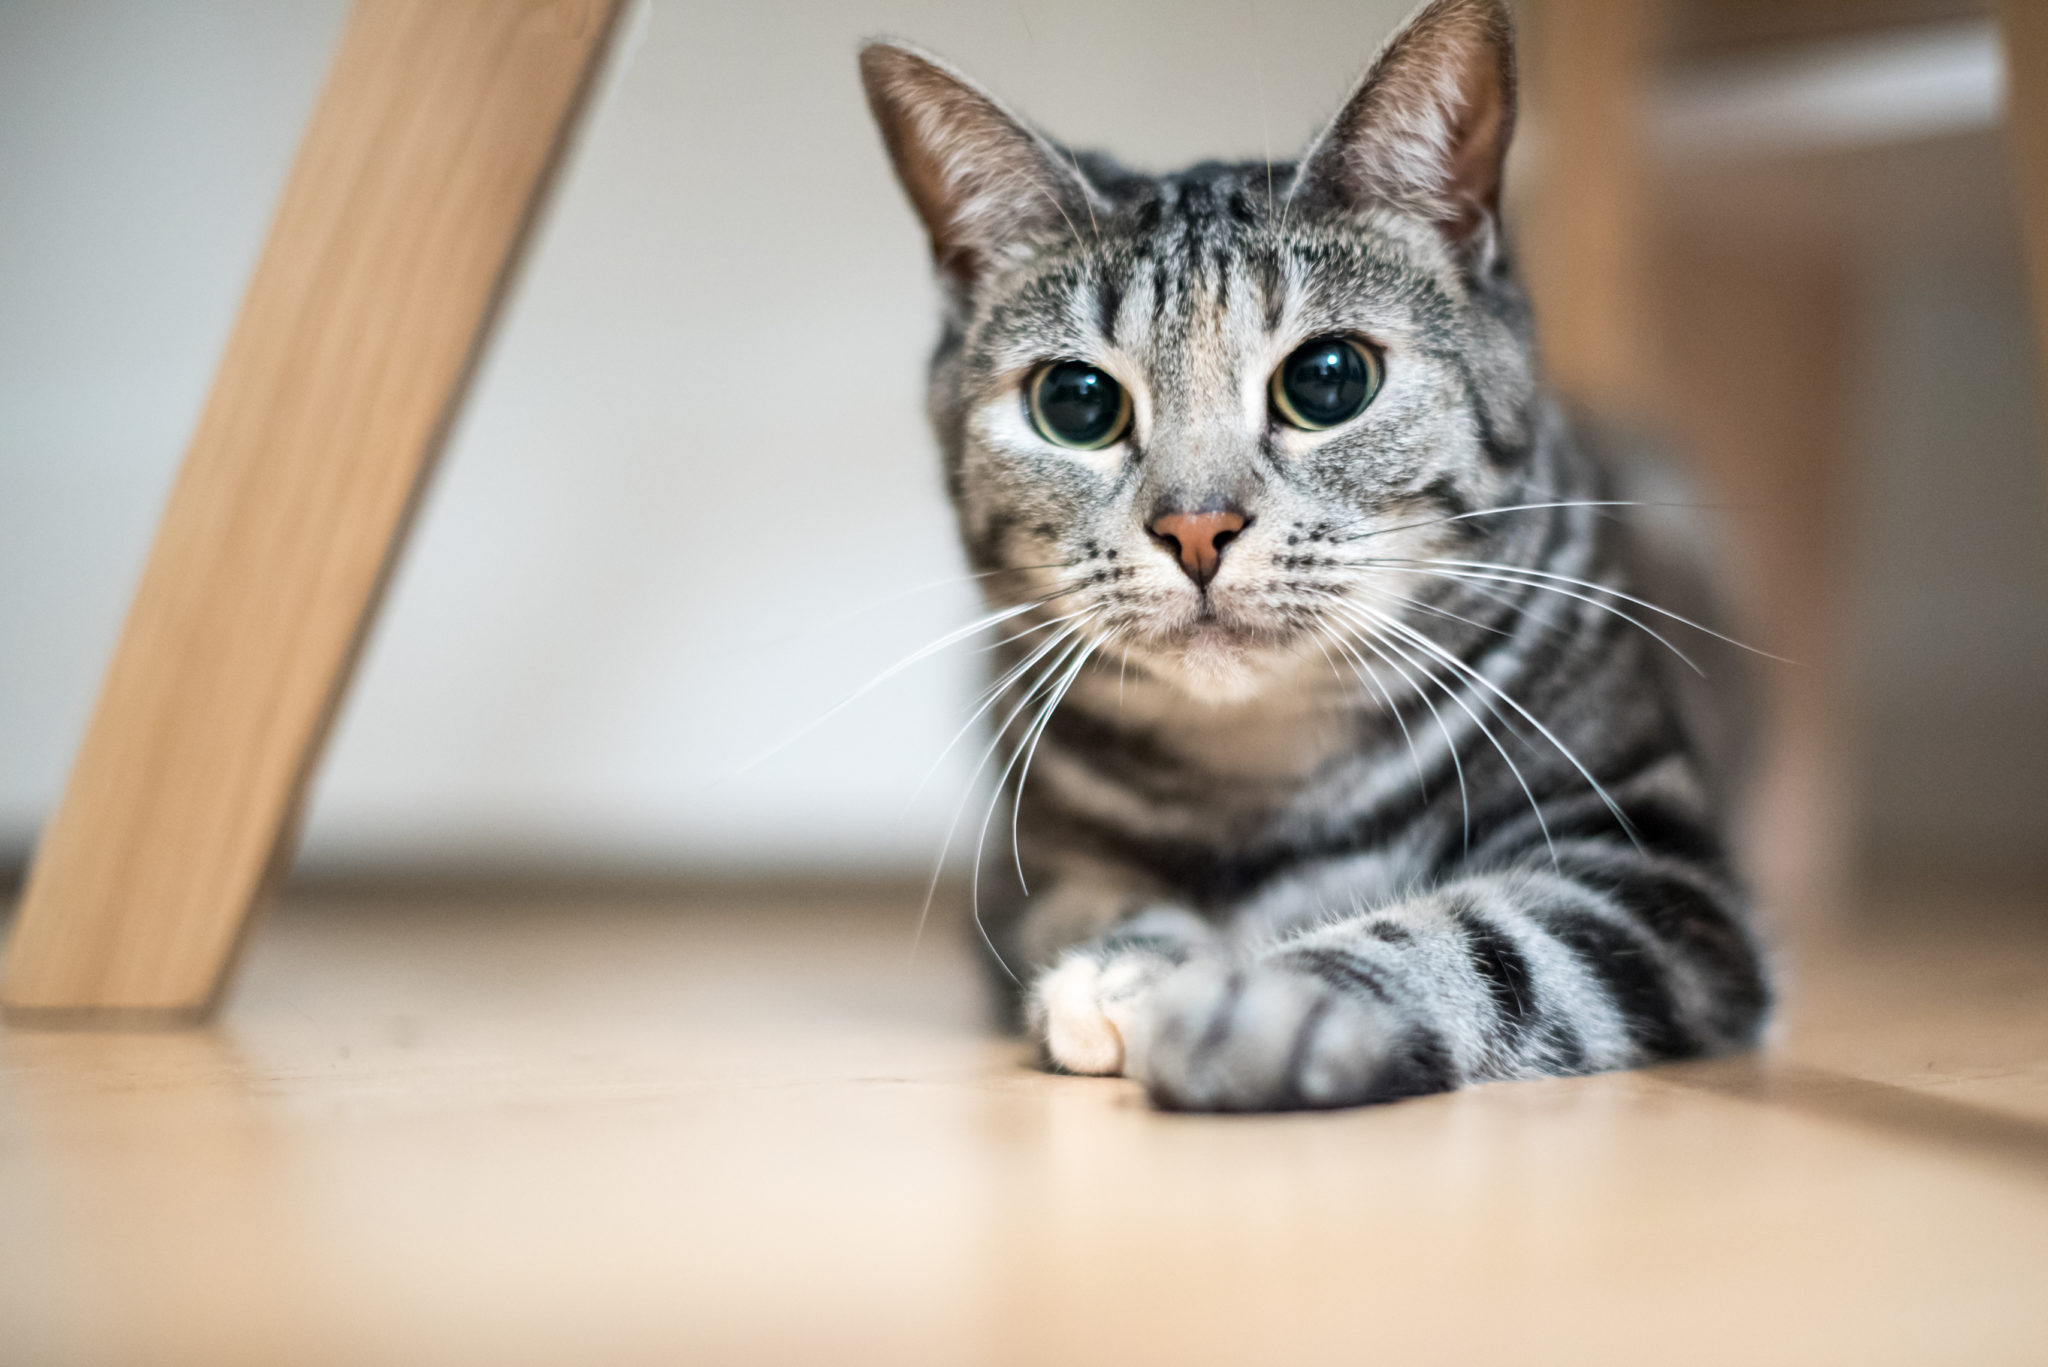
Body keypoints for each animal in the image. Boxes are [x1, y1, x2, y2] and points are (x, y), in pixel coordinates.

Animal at [856, 0, 1769, 1114]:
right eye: (1074, 402)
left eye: (1327, 380)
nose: (1195, 526)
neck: (1263, 786)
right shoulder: (1027, 874)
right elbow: (1090, 900)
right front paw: (1133, 967)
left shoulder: (1658, 867)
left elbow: (1487, 937)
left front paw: (1265, 1002)